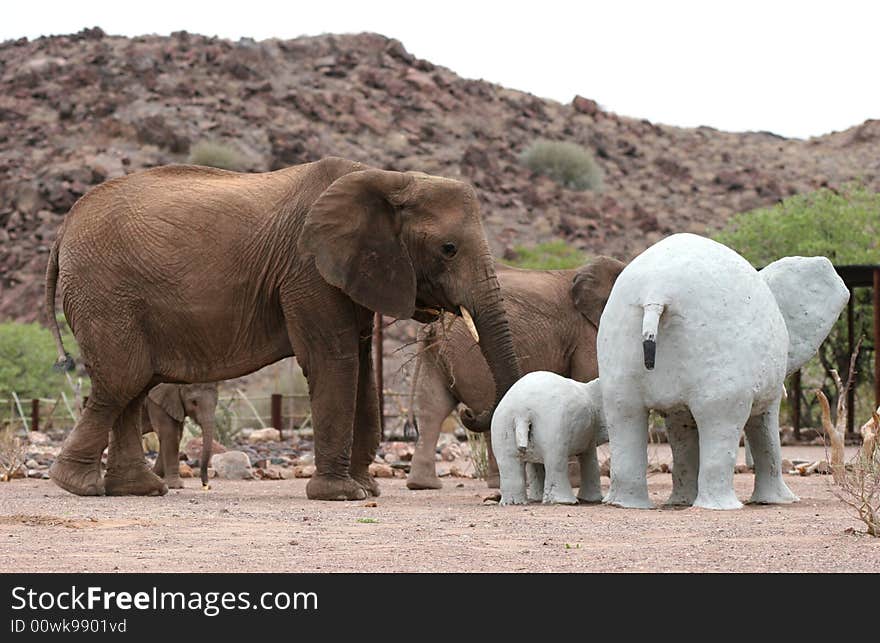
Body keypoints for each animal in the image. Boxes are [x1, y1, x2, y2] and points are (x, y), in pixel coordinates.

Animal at [43, 158, 524, 500]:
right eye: (448, 249)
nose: (471, 413)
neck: (389, 179)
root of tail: (63, 229)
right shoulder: (307, 270)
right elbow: (334, 360)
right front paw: (340, 495)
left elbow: (362, 372)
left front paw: (364, 489)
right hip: (105, 294)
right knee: (123, 379)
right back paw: (77, 485)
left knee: (133, 385)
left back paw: (136, 490)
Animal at [408, 254, 624, 490]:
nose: (466, 413)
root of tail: (432, 325)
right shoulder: (586, 333)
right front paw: (576, 482)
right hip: (470, 355)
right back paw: (499, 483)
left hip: (435, 353)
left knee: (431, 407)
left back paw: (423, 484)